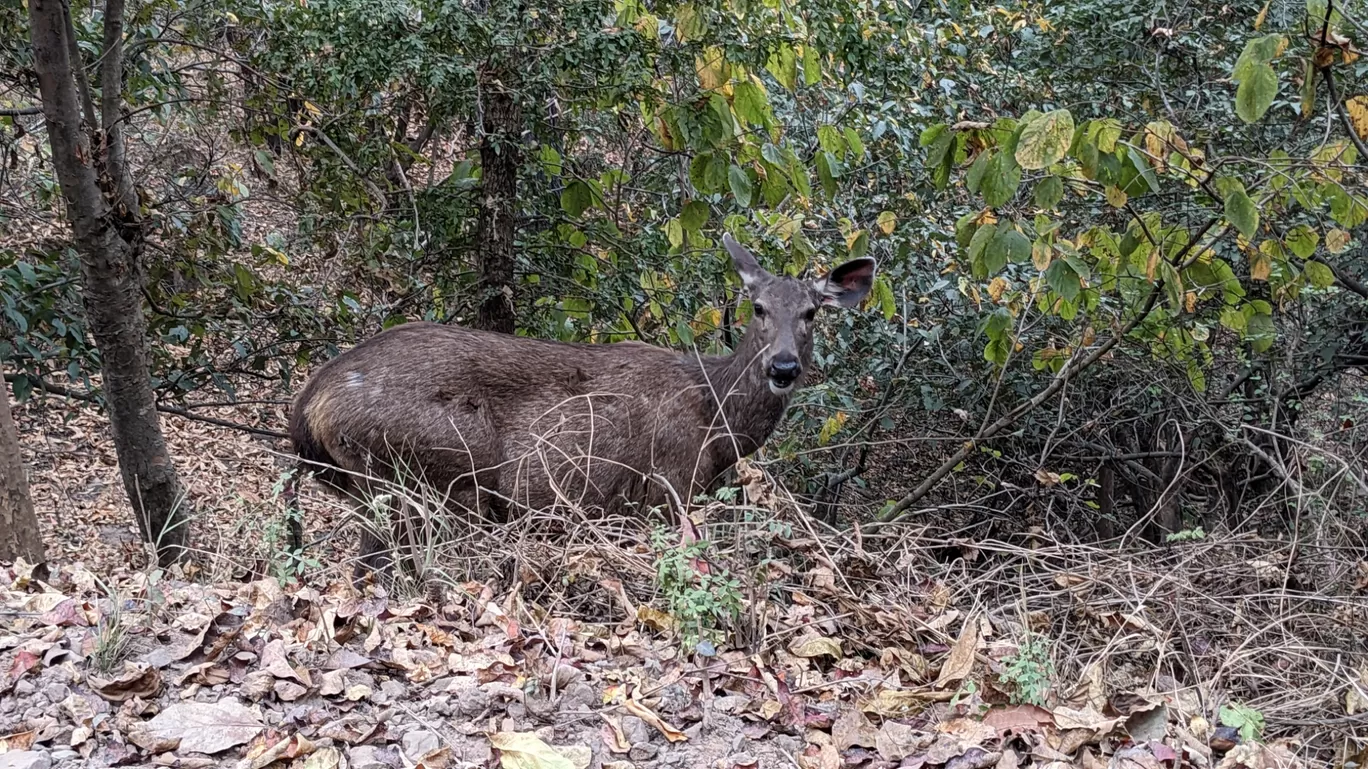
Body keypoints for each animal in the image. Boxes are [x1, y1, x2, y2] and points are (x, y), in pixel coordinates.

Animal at [288, 233, 875, 569]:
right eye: (758, 308)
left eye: (812, 312)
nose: (783, 367)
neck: (718, 424)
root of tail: (311, 404)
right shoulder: (668, 485)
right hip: (432, 466)